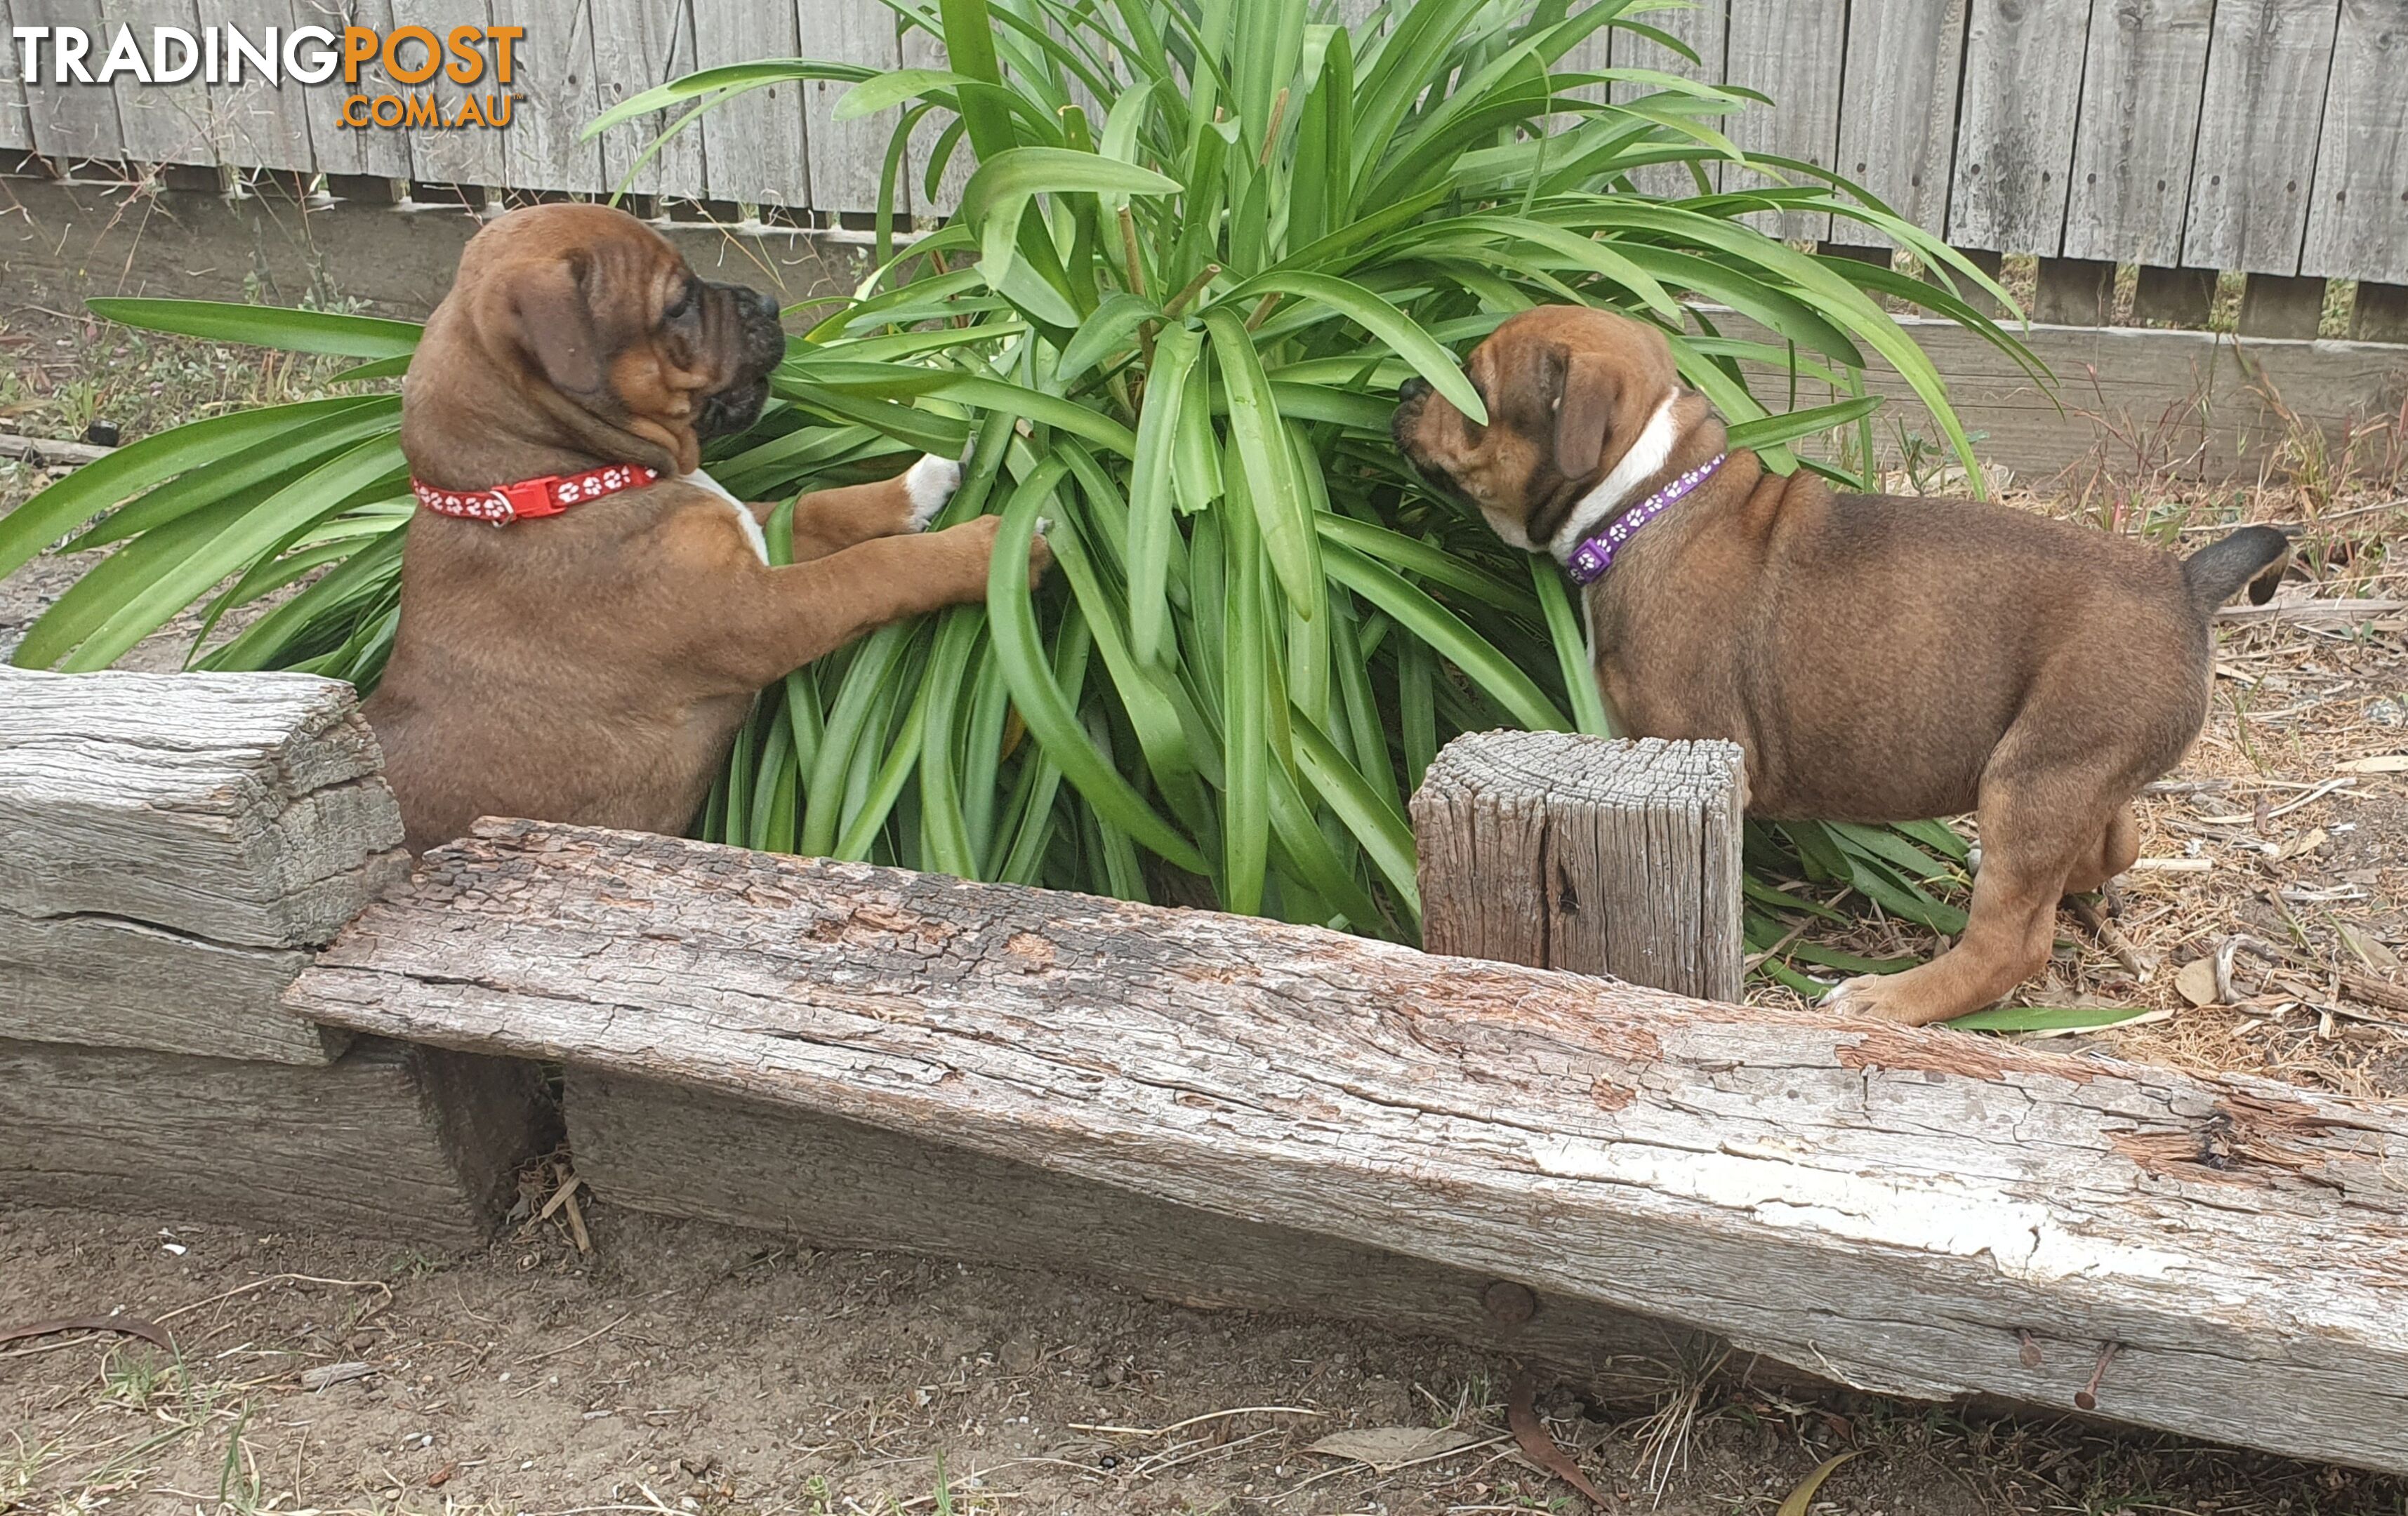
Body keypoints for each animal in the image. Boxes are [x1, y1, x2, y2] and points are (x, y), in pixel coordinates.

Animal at [361, 204, 1040, 856]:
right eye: (679, 305)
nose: (768, 303)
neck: (551, 480)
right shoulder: (757, 611)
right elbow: (872, 566)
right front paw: (986, 552)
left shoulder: (751, 538)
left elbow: (823, 506)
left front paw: (926, 475)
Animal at [1387, 303, 2282, 1030]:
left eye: (1471, 387)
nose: (1400, 387)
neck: (1649, 489)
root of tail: (2185, 582)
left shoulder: (1691, 742)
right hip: (2078, 766)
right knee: (2115, 840)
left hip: (2033, 780)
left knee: (2010, 942)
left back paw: (1890, 998)